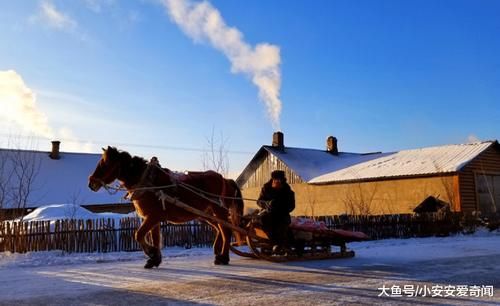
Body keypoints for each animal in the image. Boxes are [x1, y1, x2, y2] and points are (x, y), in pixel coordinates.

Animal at [90, 146, 246, 268]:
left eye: (104, 163)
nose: (91, 183)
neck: (149, 183)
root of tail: (224, 179)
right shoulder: (152, 219)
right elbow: (154, 238)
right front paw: (154, 259)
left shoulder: (153, 217)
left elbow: (138, 235)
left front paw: (151, 253)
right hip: (204, 214)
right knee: (219, 228)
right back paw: (218, 251)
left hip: (218, 209)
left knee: (226, 230)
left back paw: (223, 257)